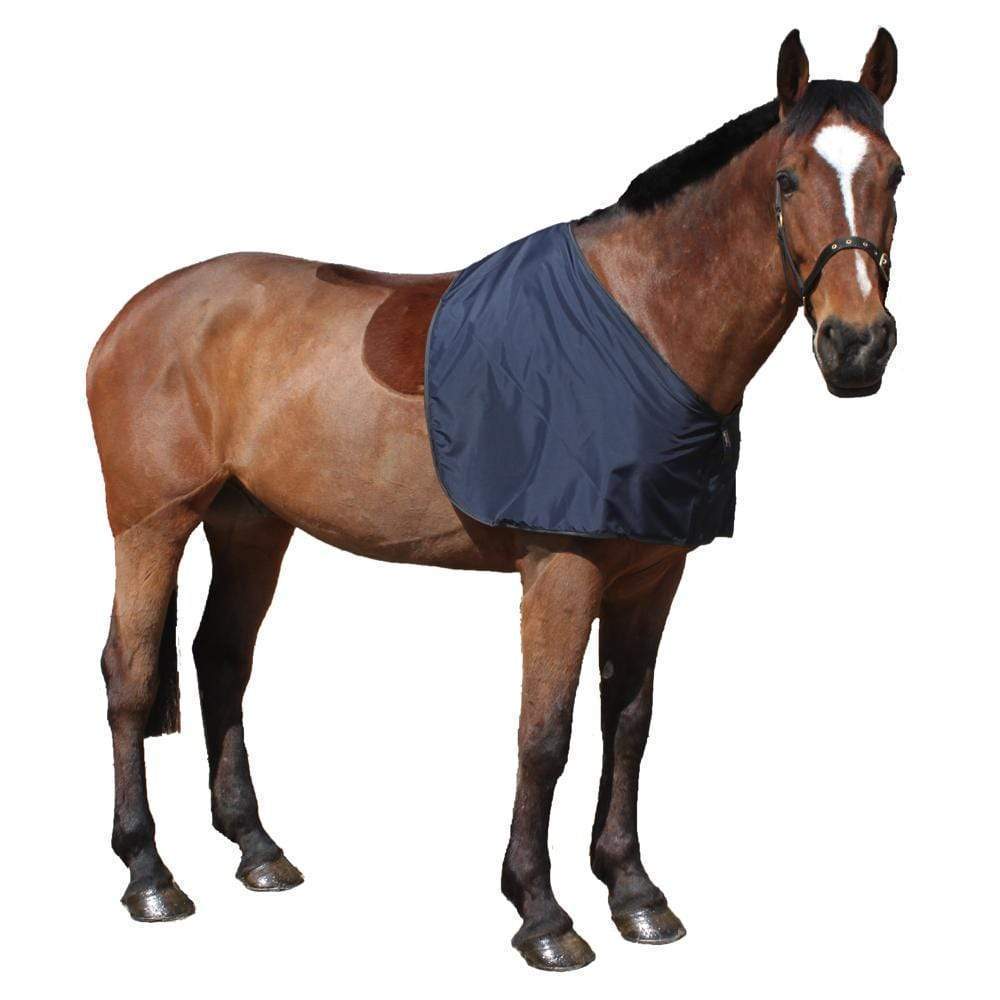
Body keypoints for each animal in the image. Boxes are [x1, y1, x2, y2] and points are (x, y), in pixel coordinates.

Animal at [87, 28, 902, 971]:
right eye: (789, 178)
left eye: (895, 173)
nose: (858, 346)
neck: (645, 323)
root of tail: (134, 315)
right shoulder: (562, 572)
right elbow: (544, 736)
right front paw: (542, 913)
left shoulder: (652, 577)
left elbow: (628, 724)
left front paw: (634, 893)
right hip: (152, 525)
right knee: (129, 677)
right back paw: (149, 875)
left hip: (252, 528)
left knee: (220, 659)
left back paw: (257, 851)